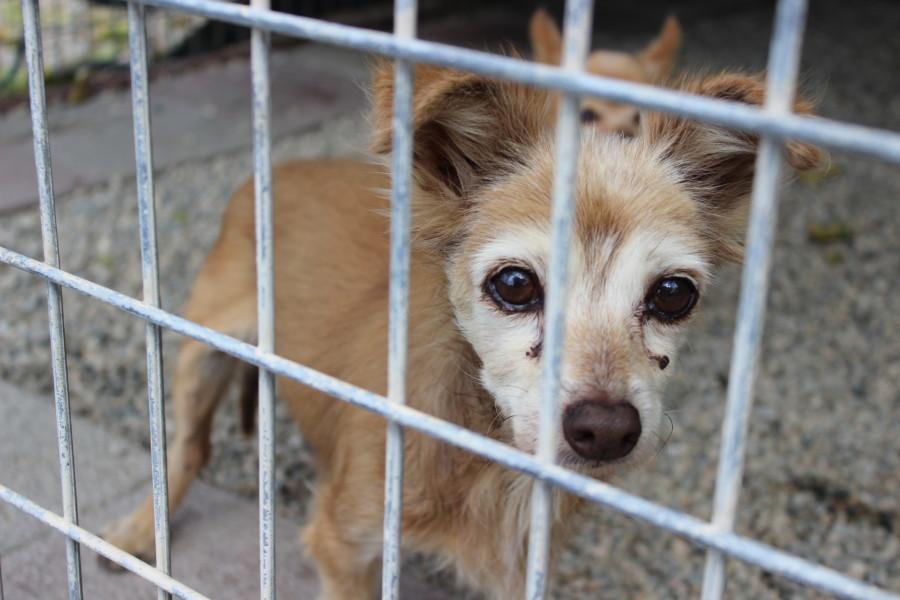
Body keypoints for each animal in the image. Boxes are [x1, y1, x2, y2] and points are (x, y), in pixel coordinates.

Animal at [103, 62, 824, 600]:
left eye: (673, 295)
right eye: (515, 284)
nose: (605, 429)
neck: (487, 455)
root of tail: (277, 168)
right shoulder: (344, 544)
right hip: (202, 355)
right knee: (187, 449)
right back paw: (137, 536)